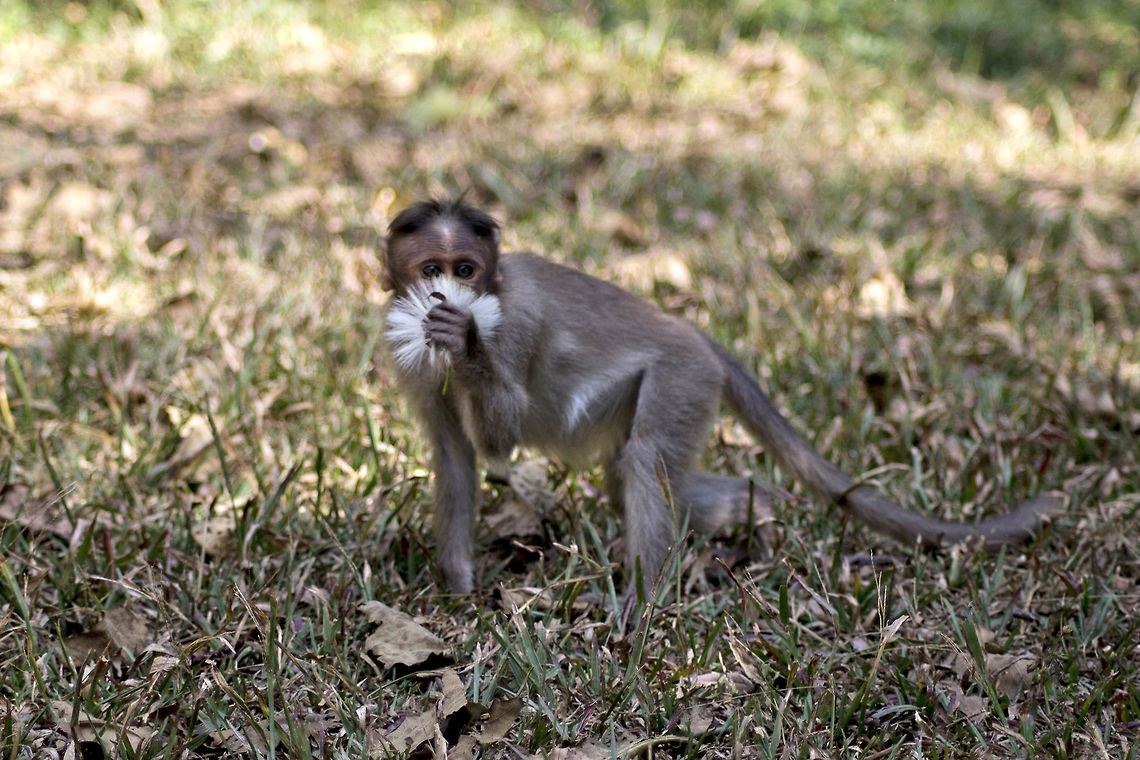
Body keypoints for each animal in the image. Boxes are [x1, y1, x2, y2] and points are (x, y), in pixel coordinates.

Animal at [381, 198, 1063, 596]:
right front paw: (458, 588)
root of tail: (695, 335)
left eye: (465, 269)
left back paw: (642, 607)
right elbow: (457, 460)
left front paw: (468, 343)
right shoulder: (406, 359)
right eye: (432, 268)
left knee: (644, 461)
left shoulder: (517, 319)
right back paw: (758, 508)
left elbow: (502, 438)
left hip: (681, 379)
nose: (446, 296)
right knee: (634, 475)